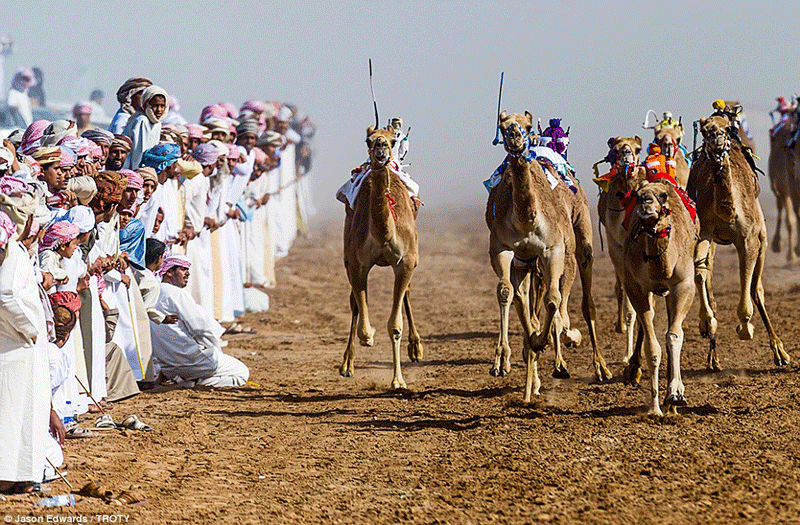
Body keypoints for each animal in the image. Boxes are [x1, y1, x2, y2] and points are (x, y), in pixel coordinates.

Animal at [340, 125, 422, 386]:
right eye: (368, 139)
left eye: (392, 139)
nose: (381, 147)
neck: (383, 234)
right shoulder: (357, 264)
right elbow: (362, 318)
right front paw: (367, 339)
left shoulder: (406, 262)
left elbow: (395, 325)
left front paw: (398, 381)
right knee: (354, 303)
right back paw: (347, 364)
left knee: (407, 293)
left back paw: (416, 349)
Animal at [488, 108, 576, 400]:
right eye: (503, 125)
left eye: (526, 125)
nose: (515, 136)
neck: (525, 220)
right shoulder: (501, 247)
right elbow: (505, 292)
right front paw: (501, 361)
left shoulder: (553, 249)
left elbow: (552, 299)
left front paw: (545, 346)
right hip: (522, 261)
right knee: (519, 298)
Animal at [620, 182, 696, 416]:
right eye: (637, 196)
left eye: (663, 196)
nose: (646, 202)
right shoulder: (636, 288)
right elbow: (652, 348)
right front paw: (654, 409)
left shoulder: (684, 285)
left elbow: (674, 336)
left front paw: (675, 393)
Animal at [684, 115, 792, 368]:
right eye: (706, 130)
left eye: (726, 128)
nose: (717, 141)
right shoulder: (705, 232)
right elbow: (700, 272)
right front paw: (707, 322)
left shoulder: (749, 238)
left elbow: (747, 281)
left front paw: (745, 328)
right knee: (708, 272)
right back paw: (713, 357)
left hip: (761, 236)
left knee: (757, 288)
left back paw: (780, 353)